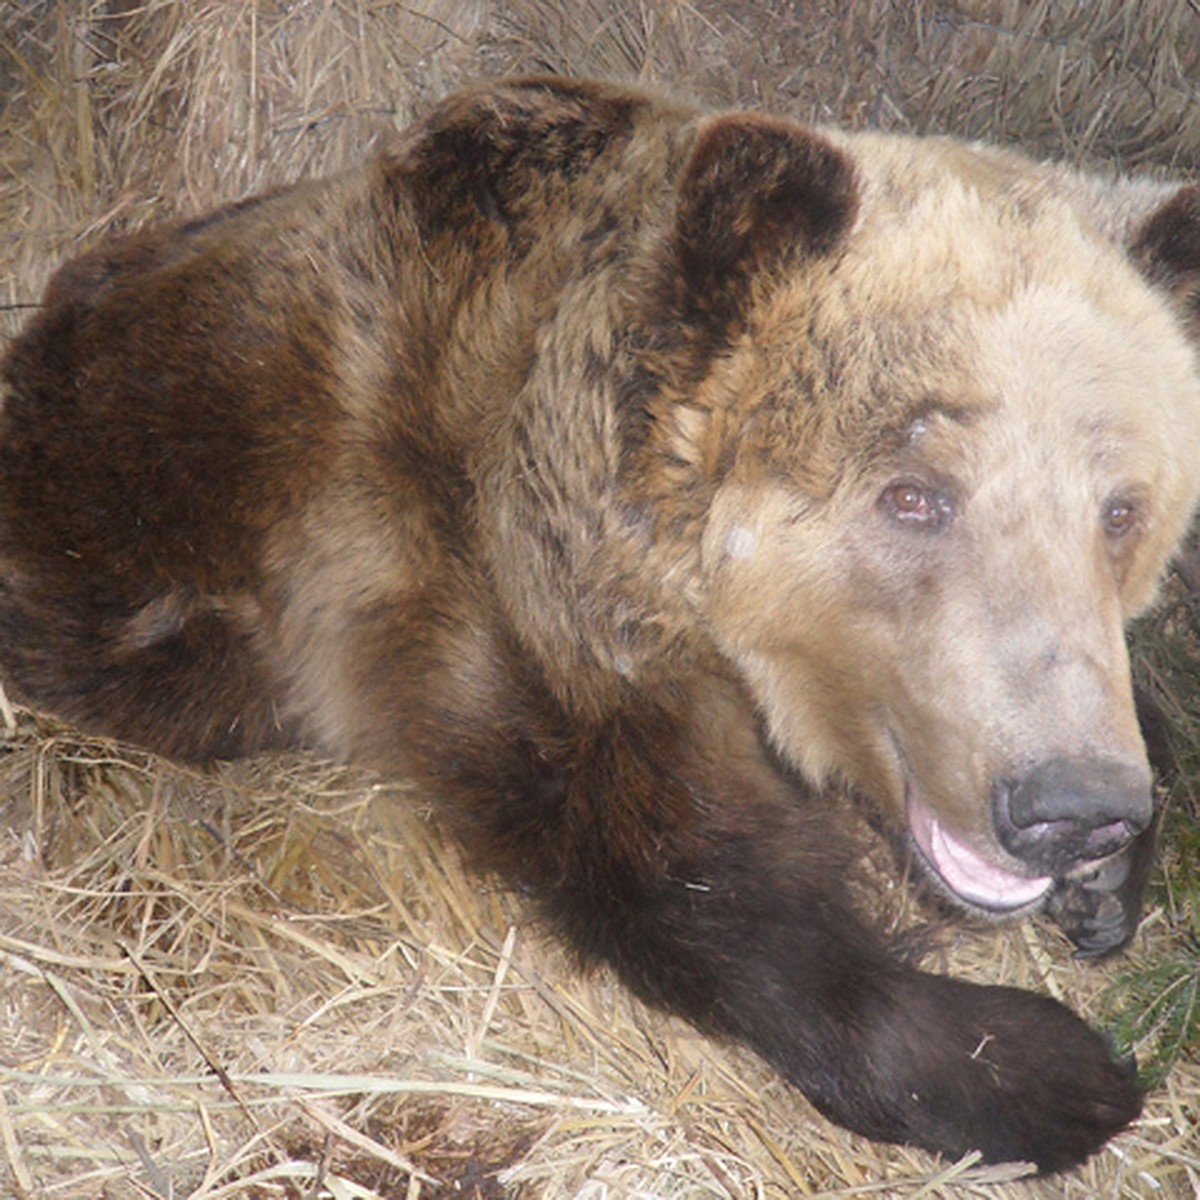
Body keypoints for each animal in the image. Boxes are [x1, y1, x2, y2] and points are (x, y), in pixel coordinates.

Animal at [2, 75, 1200, 1171]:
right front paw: (1044, 1069)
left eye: (1120, 509)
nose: (1073, 806)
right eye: (915, 494)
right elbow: (682, 878)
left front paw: (1108, 884)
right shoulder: (468, 586)